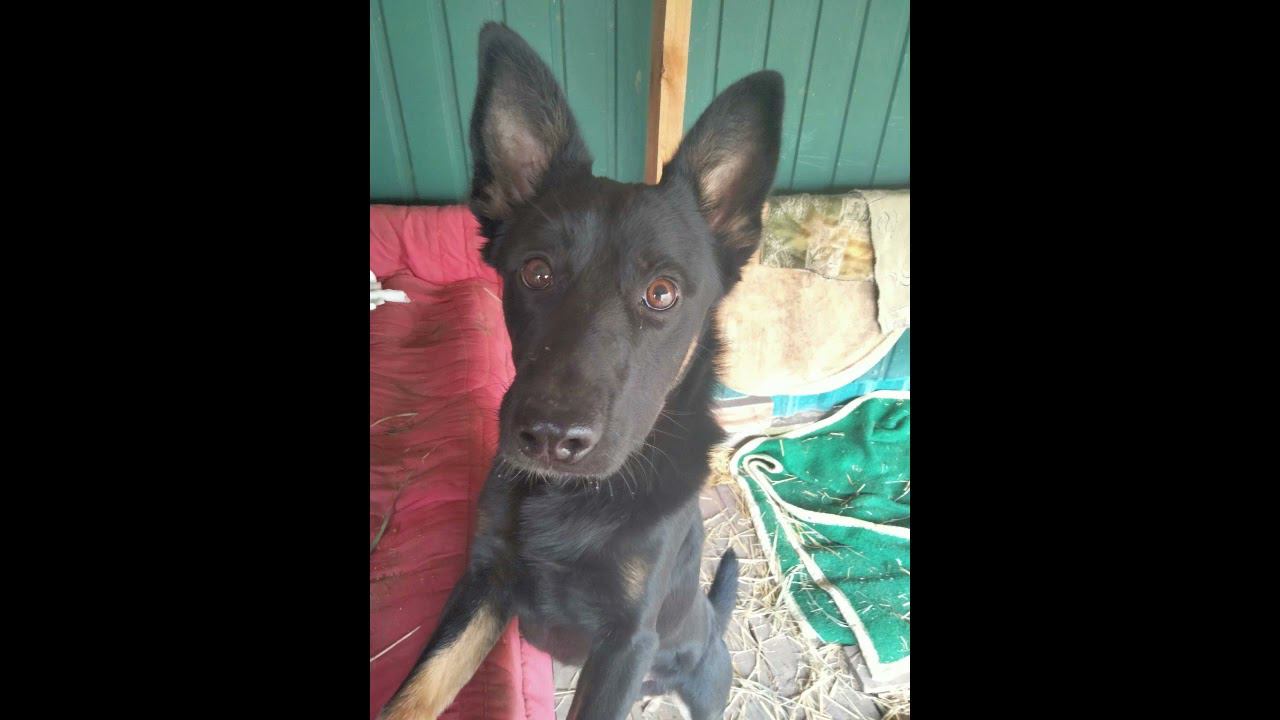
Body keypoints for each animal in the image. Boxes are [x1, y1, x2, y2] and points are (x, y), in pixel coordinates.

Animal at [381, 22, 782, 720]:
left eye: (662, 293)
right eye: (536, 272)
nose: (549, 439)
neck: (572, 503)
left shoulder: (625, 642)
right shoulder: (482, 584)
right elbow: (417, 691)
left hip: (703, 683)